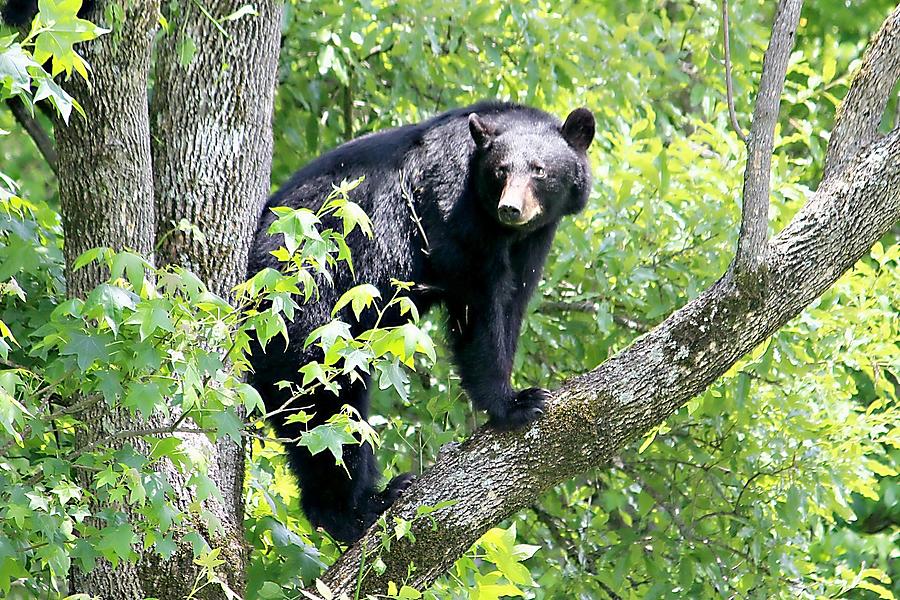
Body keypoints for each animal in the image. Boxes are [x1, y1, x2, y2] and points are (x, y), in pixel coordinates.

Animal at [250, 101, 596, 540]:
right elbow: (478, 307)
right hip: (307, 320)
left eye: (539, 169)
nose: (511, 209)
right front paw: (516, 402)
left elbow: (512, 303)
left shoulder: (535, 238)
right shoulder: (451, 214)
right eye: (500, 170)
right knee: (328, 417)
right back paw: (359, 509)